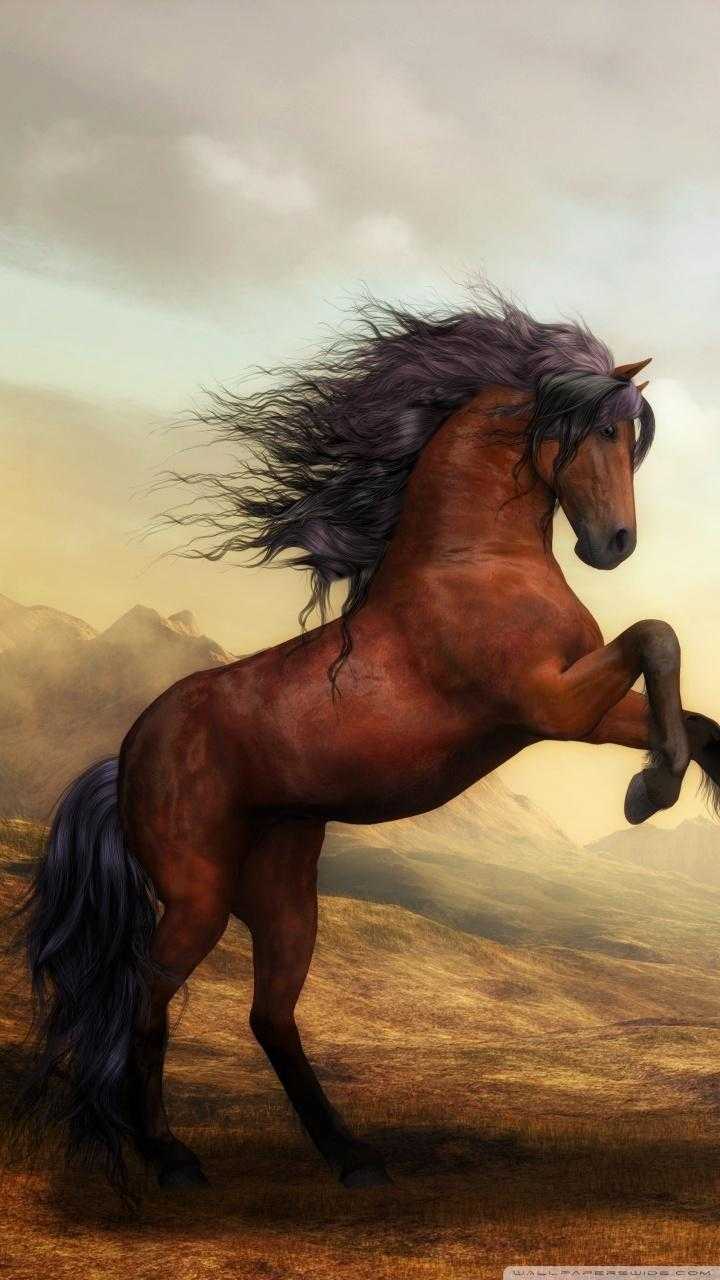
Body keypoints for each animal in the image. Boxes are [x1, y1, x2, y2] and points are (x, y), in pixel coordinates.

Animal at [16, 290, 720, 1197]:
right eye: (601, 431)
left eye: (632, 439)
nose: (614, 546)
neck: (473, 560)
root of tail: (129, 751)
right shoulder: (546, 702)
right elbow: (658, 637)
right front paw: (651, 791)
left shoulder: (572, 712)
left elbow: (691, 716)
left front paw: (655, 784)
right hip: (198, 895)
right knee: (149, 993)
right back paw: (170, 1157)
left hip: (283, 886)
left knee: (271, 1015)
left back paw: (351, 1155)